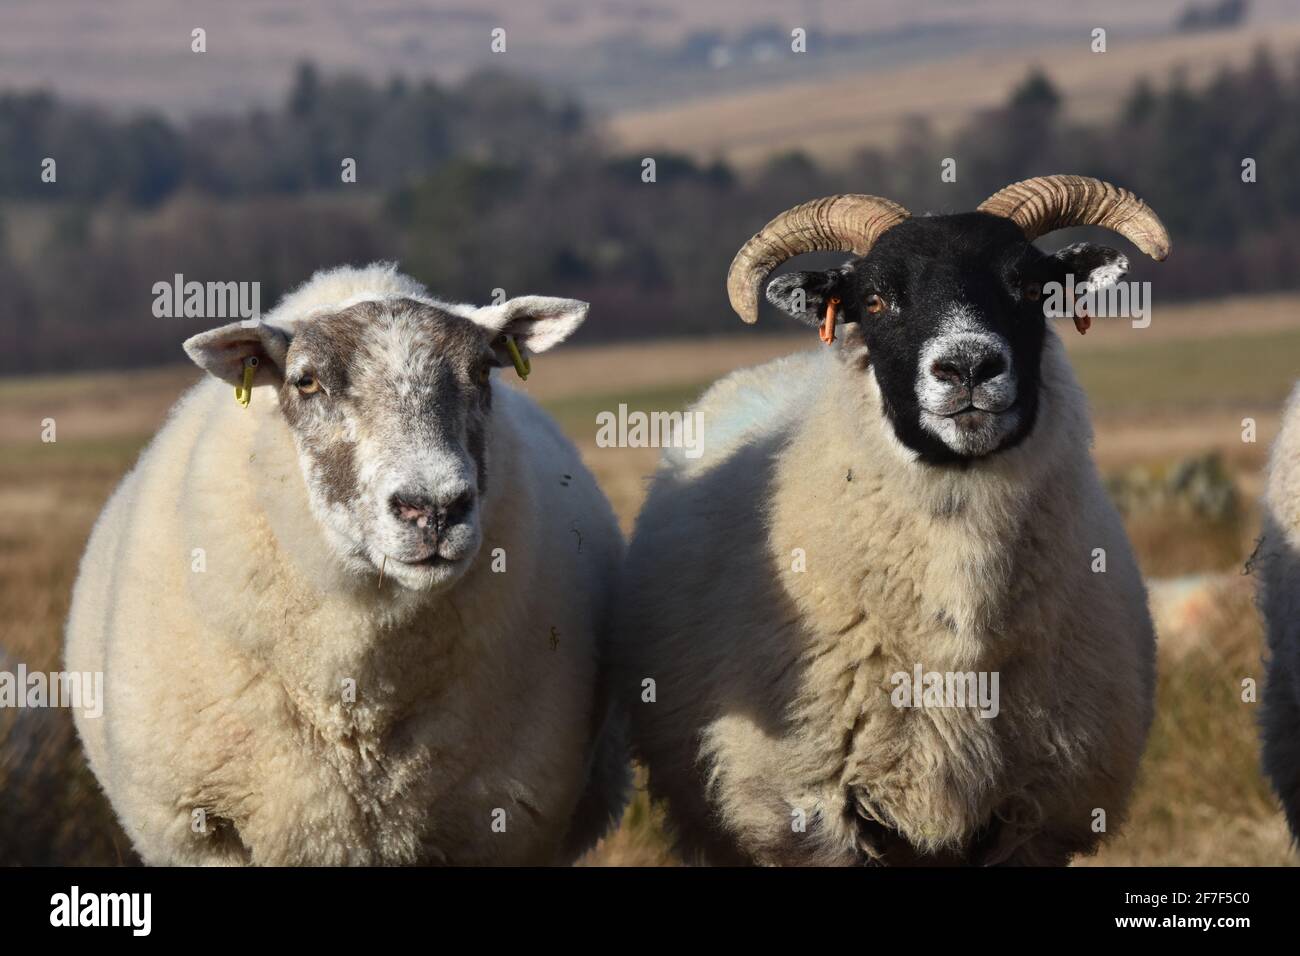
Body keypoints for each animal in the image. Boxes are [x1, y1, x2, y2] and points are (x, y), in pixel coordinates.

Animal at [63, 261, 626, 868]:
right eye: (306, 381)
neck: (358, 704)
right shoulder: (204, 832)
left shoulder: (500, 831)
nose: (433, 509)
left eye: (481, 371)